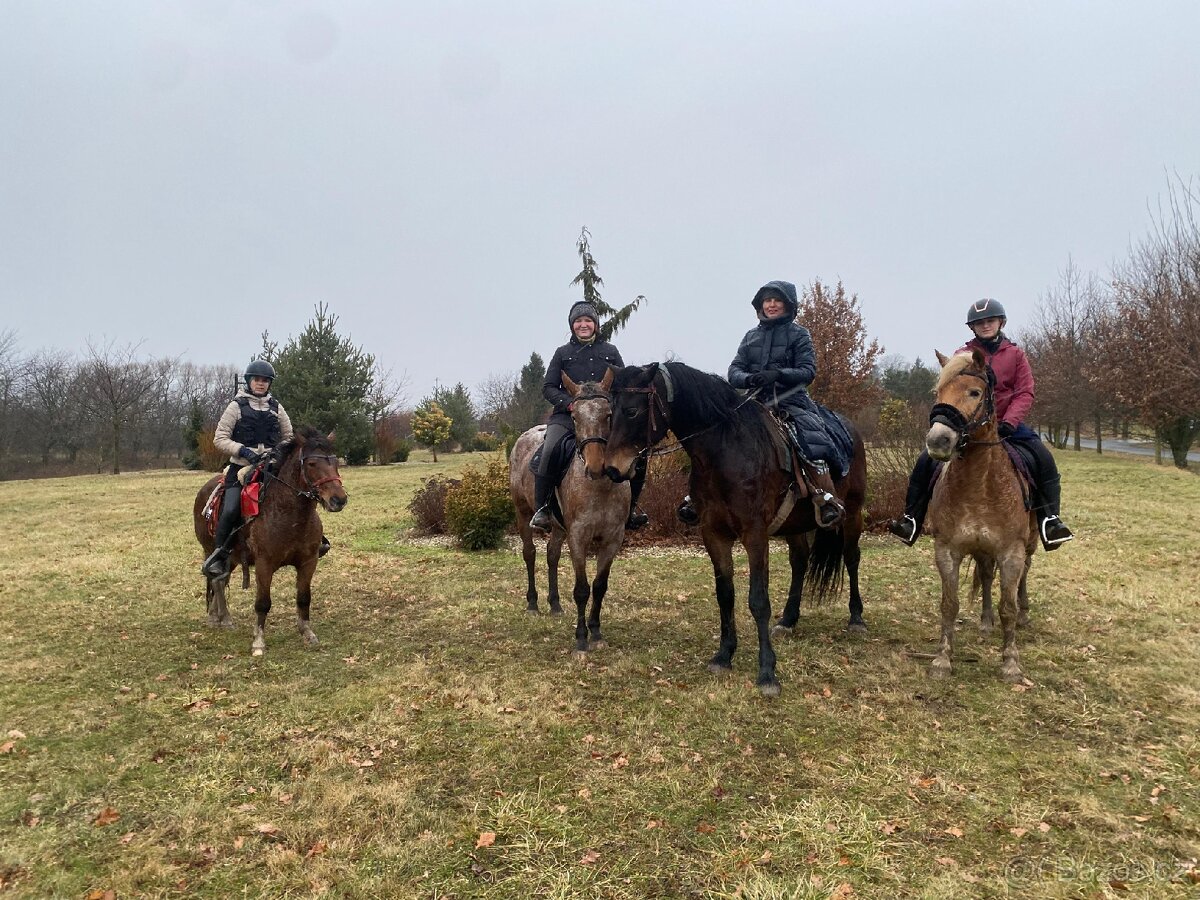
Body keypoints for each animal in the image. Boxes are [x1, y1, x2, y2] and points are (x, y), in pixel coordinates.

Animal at [193, 427, 348, 656]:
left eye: (335, 461)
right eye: (312, 464)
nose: (339, 499)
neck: (289, 515)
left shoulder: (308, 562)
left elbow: (304, 598)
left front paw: (307, 633)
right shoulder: (264, 565)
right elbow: (263, 603)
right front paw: (258, 642)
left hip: (233, 558)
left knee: (220, 579)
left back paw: (218, 617)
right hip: (211, 549)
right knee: (216, 580)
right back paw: (223, 618)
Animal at [509, 369, 631, 658]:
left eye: (608, 414)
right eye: (575, 416)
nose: (596, 466)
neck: (600, 487)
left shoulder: (612, 539)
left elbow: (599, 586)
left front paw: (596, 633)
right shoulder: (578, 537)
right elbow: (582, 590)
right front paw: (581, 640)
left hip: (558, 526)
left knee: (552, 555)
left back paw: (554, 605)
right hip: (522, 513)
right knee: (530, 553)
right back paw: (533, 604)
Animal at [602, 362, 868, 697]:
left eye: (633, 411)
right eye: (610, 412)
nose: (612, 469)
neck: (726, 451)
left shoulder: (754, 535)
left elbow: (758, 600)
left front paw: (767, 672)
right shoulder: (714, 534)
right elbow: (725, 594)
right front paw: (724, 654)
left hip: (852, 514)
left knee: (852, 557)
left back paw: (856, 617)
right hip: (795, 525)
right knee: (800, 561)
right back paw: (789, 619)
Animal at [924, 349, 1037, 682]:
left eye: (974, 392)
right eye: (938, 392)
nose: (938, 441)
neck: (979, 484)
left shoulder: (1010, 552)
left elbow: (1007, 607)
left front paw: (1011, 663)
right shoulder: (948, 550)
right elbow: (949, 605)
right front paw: (942, 659)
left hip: (1029, 544)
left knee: (1026, 574)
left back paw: (1024, 614)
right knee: (986, 575)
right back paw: (986, 621)